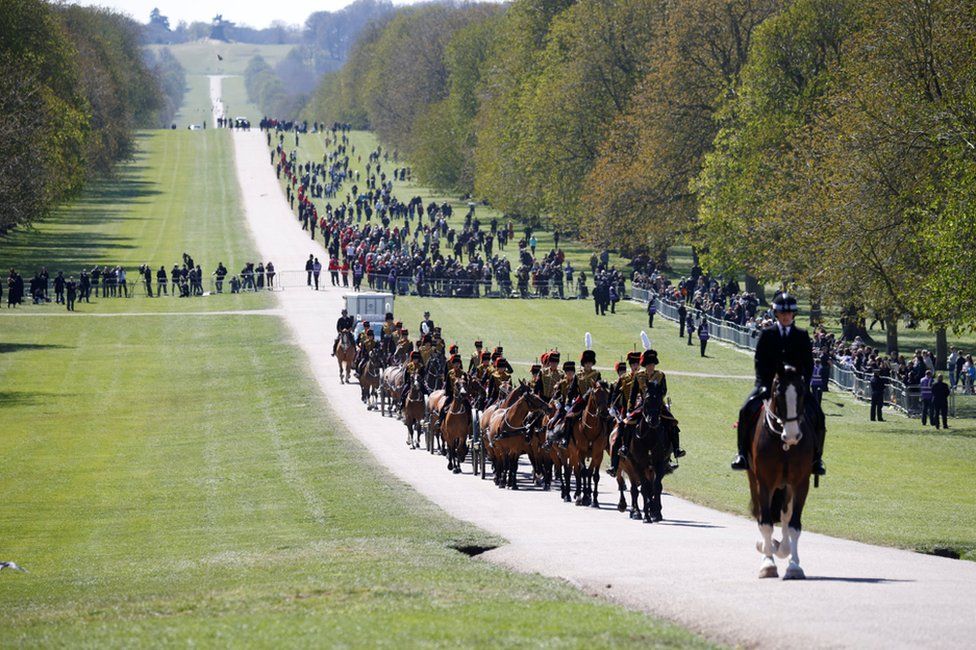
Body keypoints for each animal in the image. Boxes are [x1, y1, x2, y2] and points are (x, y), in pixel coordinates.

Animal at [748, 362, 816, 580]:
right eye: (778, 392)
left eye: (801, 391)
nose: (792, 436)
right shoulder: (764, 483)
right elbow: (766, 523)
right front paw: (768, 563)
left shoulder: (801, 483)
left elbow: (793, 525)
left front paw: (794, 565)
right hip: (755, 480)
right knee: (762, 513)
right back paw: (767, 548)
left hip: (786, 486)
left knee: (785, 516)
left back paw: (782, 548)